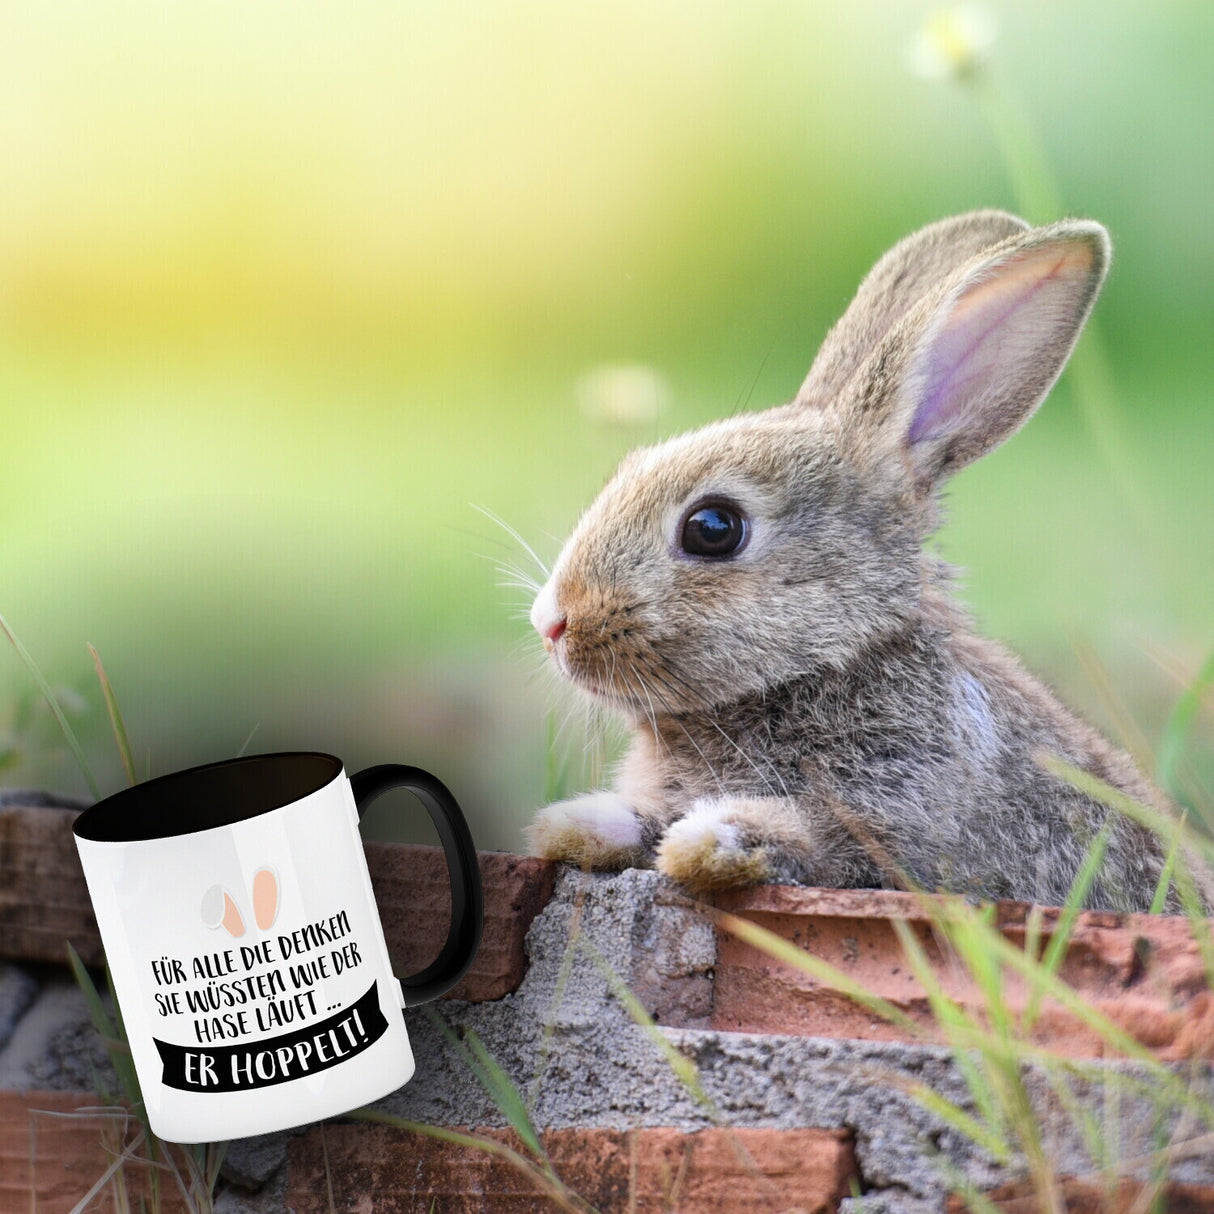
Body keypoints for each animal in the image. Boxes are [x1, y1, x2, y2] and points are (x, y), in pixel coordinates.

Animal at [524, 209, 1180, 912]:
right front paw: (575, 824)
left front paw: (711, 841)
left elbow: (815, 841)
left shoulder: (898, 824)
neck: (829, 663)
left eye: (712, 528)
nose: (552, 622)